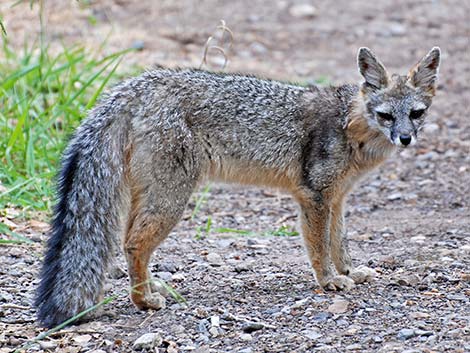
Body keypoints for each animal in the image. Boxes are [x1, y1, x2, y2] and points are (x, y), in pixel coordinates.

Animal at [35, 47, 440, 328]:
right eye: (385, 115)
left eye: (416, 114)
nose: (405, 138)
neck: (350, 124)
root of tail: (139, 84)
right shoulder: (314, 197)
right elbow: (320, 248)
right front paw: (329, 281)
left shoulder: (337, 198)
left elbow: (339, 243)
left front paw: (349, 272)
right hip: (172, 199)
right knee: (133, 243)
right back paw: (144, 302)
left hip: (151, 195)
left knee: (131, 241)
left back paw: (150, 290)